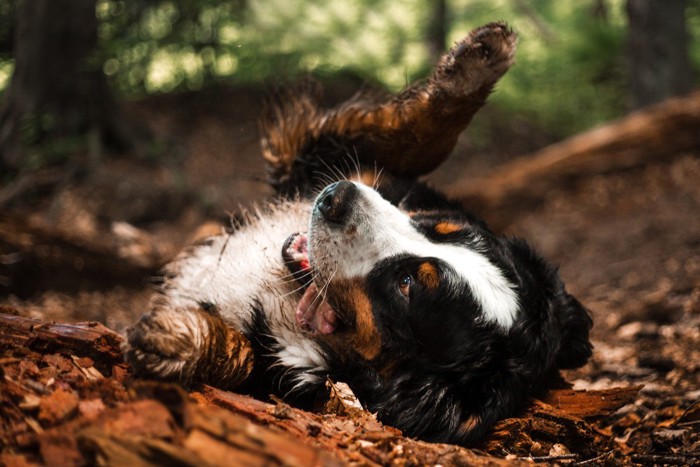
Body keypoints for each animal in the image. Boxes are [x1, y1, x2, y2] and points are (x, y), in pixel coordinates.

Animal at [126, 22, 592, 446]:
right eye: (434, 226)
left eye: (406, 285)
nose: (336, 197)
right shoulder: (331, 161)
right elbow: (415, 135)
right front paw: (477, 63)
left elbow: (242, 356)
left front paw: (179, 343)